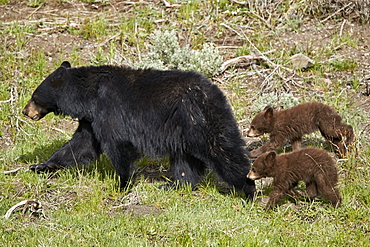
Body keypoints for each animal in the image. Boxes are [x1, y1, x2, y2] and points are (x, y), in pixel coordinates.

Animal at [22, 62, 254, 199]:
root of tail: (215, 91)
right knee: (184, 162)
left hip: (199, 121)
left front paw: (121, 185)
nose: (25, 111)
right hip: (182, 132)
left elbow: (117, 145)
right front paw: (41, 166)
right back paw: (175, 186)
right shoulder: (91, 118)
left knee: (223, 152)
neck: (89, 95)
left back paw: (248, 189)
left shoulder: (109, 109)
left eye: (34, 96)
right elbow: (81, 145)